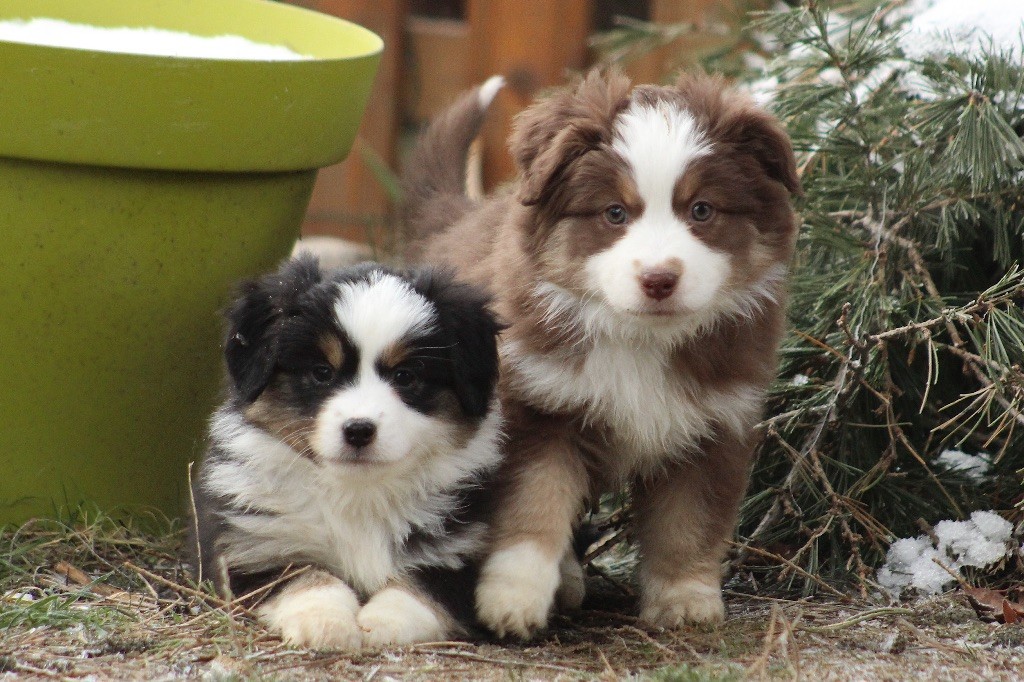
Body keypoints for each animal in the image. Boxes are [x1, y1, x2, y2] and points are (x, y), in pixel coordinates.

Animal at [191, 256, 503, 647]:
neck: (357, 493)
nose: (358, 430)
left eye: (405, 376)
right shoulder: (257, 545)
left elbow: (415, 589)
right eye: (322, 372)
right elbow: (308, 577)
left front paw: (382, 623)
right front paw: (325, 622)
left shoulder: (455, 553)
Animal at [403, 70, 802, 638]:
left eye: (701, 210)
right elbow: (534, 505)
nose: (659, 279)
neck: (640, 339)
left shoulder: (716, 424)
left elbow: (689, 522)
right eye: (615, 213)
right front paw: (512, 599)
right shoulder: (538, 409)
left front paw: (684, 600)